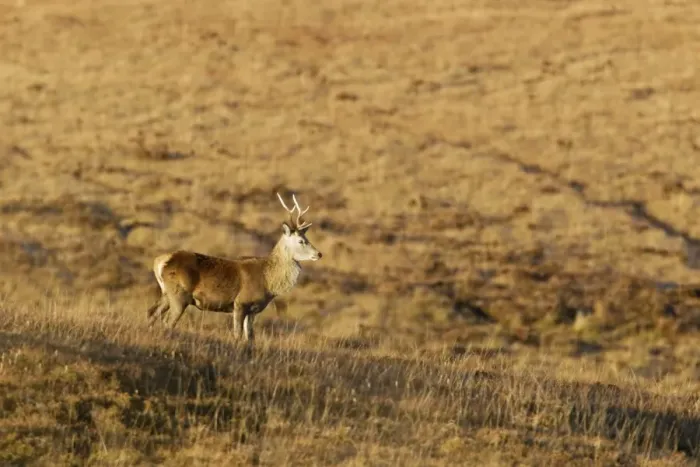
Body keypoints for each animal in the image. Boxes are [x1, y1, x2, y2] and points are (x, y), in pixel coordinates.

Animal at [146, 192, 322, 343]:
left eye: (306, 238)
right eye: (301, 241)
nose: (319, 254)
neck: (268, 282)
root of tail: (160, 261)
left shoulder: (252, 310)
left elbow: (250, 338)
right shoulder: (240, 303)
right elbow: (237, 335)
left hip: (167, 294)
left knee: (152, 314)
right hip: (179, 295)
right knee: (168, 322)